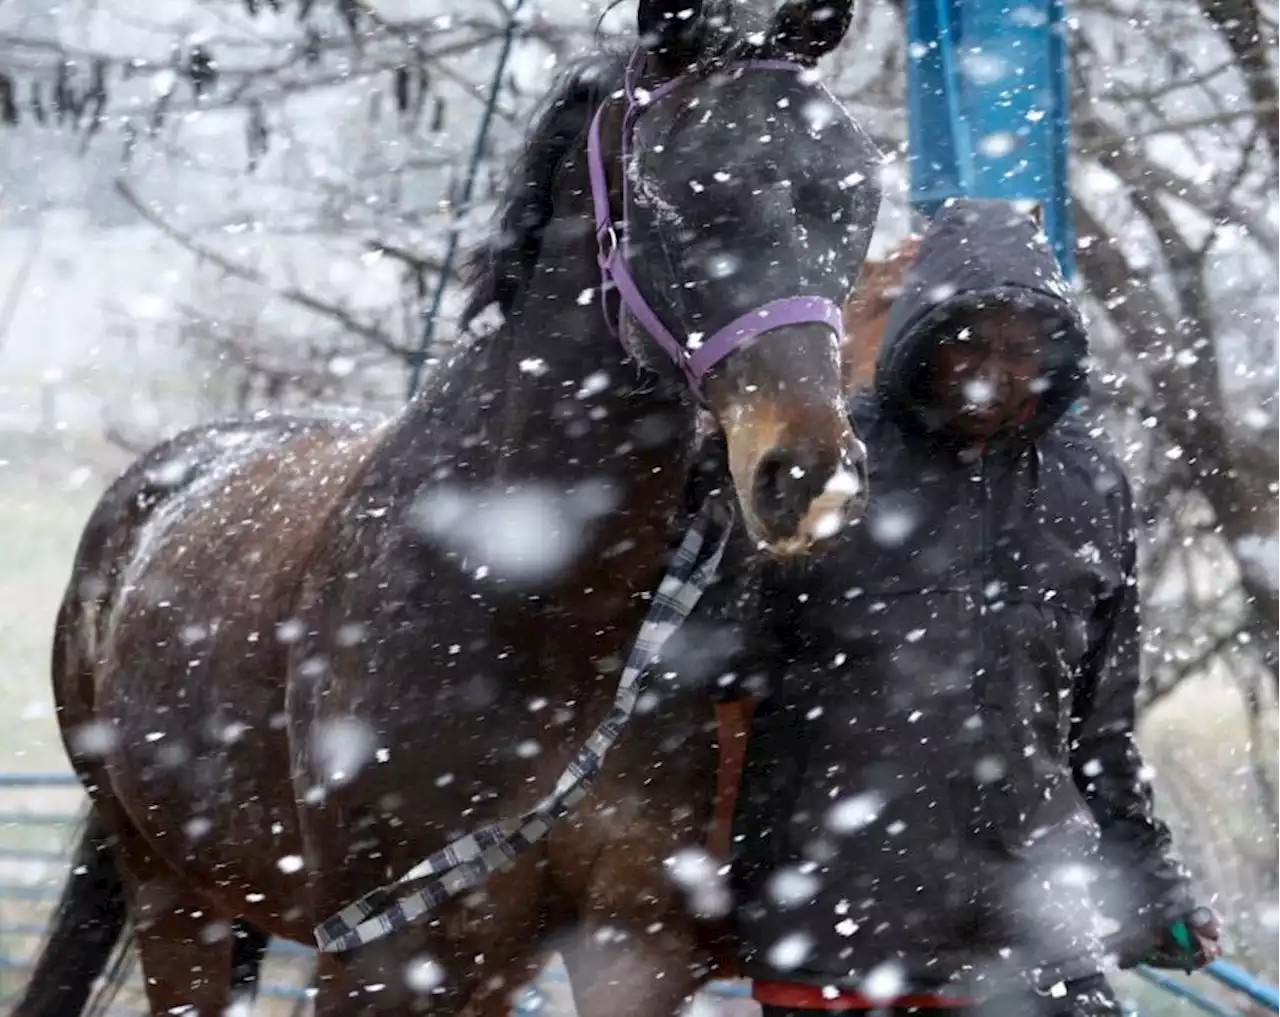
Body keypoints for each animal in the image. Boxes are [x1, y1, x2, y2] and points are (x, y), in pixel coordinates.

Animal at [15, 1, 885, 1017]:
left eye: (859, 193)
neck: (526, 590)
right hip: (173, 899)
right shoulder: (376, 953)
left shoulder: (632, 943)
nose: (811, 475)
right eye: (674, 195)